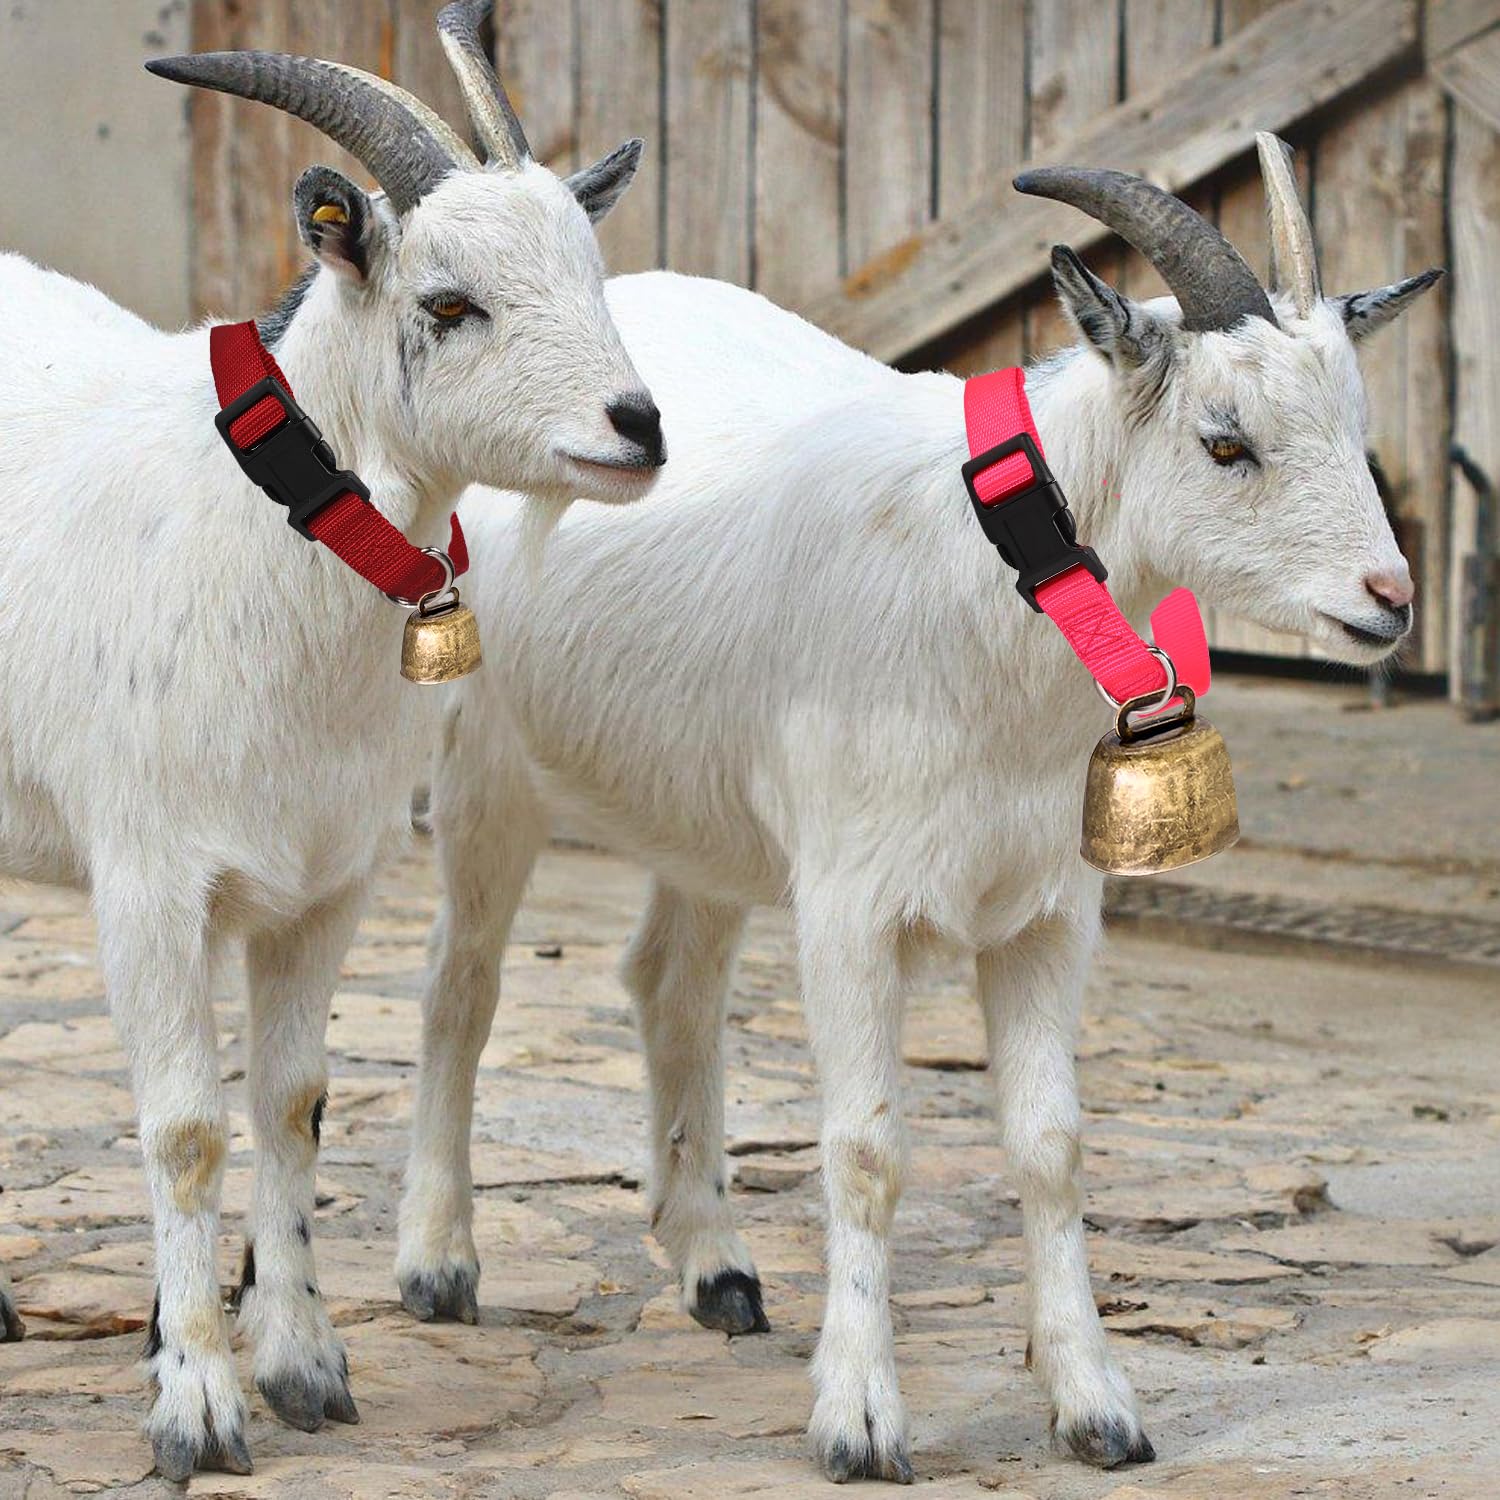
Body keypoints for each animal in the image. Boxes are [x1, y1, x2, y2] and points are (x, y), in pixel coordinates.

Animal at [0, 1, 661, 1480]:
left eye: (594, 276)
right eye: (448, 304)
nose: (637, 428)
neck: (250, 530)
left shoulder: (326, 881)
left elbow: (291, 1103)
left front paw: (303, 1366)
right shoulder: (147, 880)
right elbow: (185, 1127)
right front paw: (196, 1406)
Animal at [399, 137, 1439, 1482]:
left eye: (1356, 428)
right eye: (1225, 443)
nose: (1390, 600)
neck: (987, 576)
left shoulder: (1049, 910)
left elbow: (1051, 1146)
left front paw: (1096, 1403)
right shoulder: (851, 909)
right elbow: (866, 1147)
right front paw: (858, 1420)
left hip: (706, 809)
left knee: (669, 983)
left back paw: (716, 1266)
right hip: (485, 761)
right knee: (461, 982)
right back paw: (439, 1263)